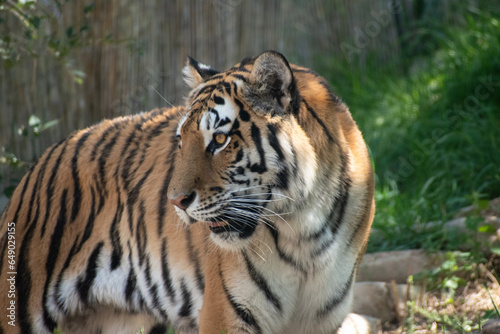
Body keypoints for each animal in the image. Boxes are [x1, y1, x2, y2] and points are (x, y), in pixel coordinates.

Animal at [0, 51, 376, 332]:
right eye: (182, 139)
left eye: (220, 139)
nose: (175, 202)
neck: (304, 229)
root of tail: (36, 164)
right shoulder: (226, 314)